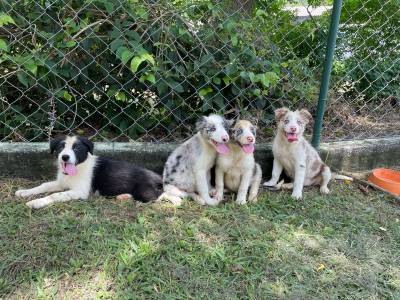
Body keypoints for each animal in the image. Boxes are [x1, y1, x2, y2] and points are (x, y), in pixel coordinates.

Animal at [15, 136, 162, 209]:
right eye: (61, 147)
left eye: (76, 148)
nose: (65, 157)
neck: (79, 167)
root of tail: (157, 177)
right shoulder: (62, 182)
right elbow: (44, 185)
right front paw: (24, 192)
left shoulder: (80, 191)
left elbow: (55, 195)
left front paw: (36, 203)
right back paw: (123, 196)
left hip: (144, 191)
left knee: (158, 197)